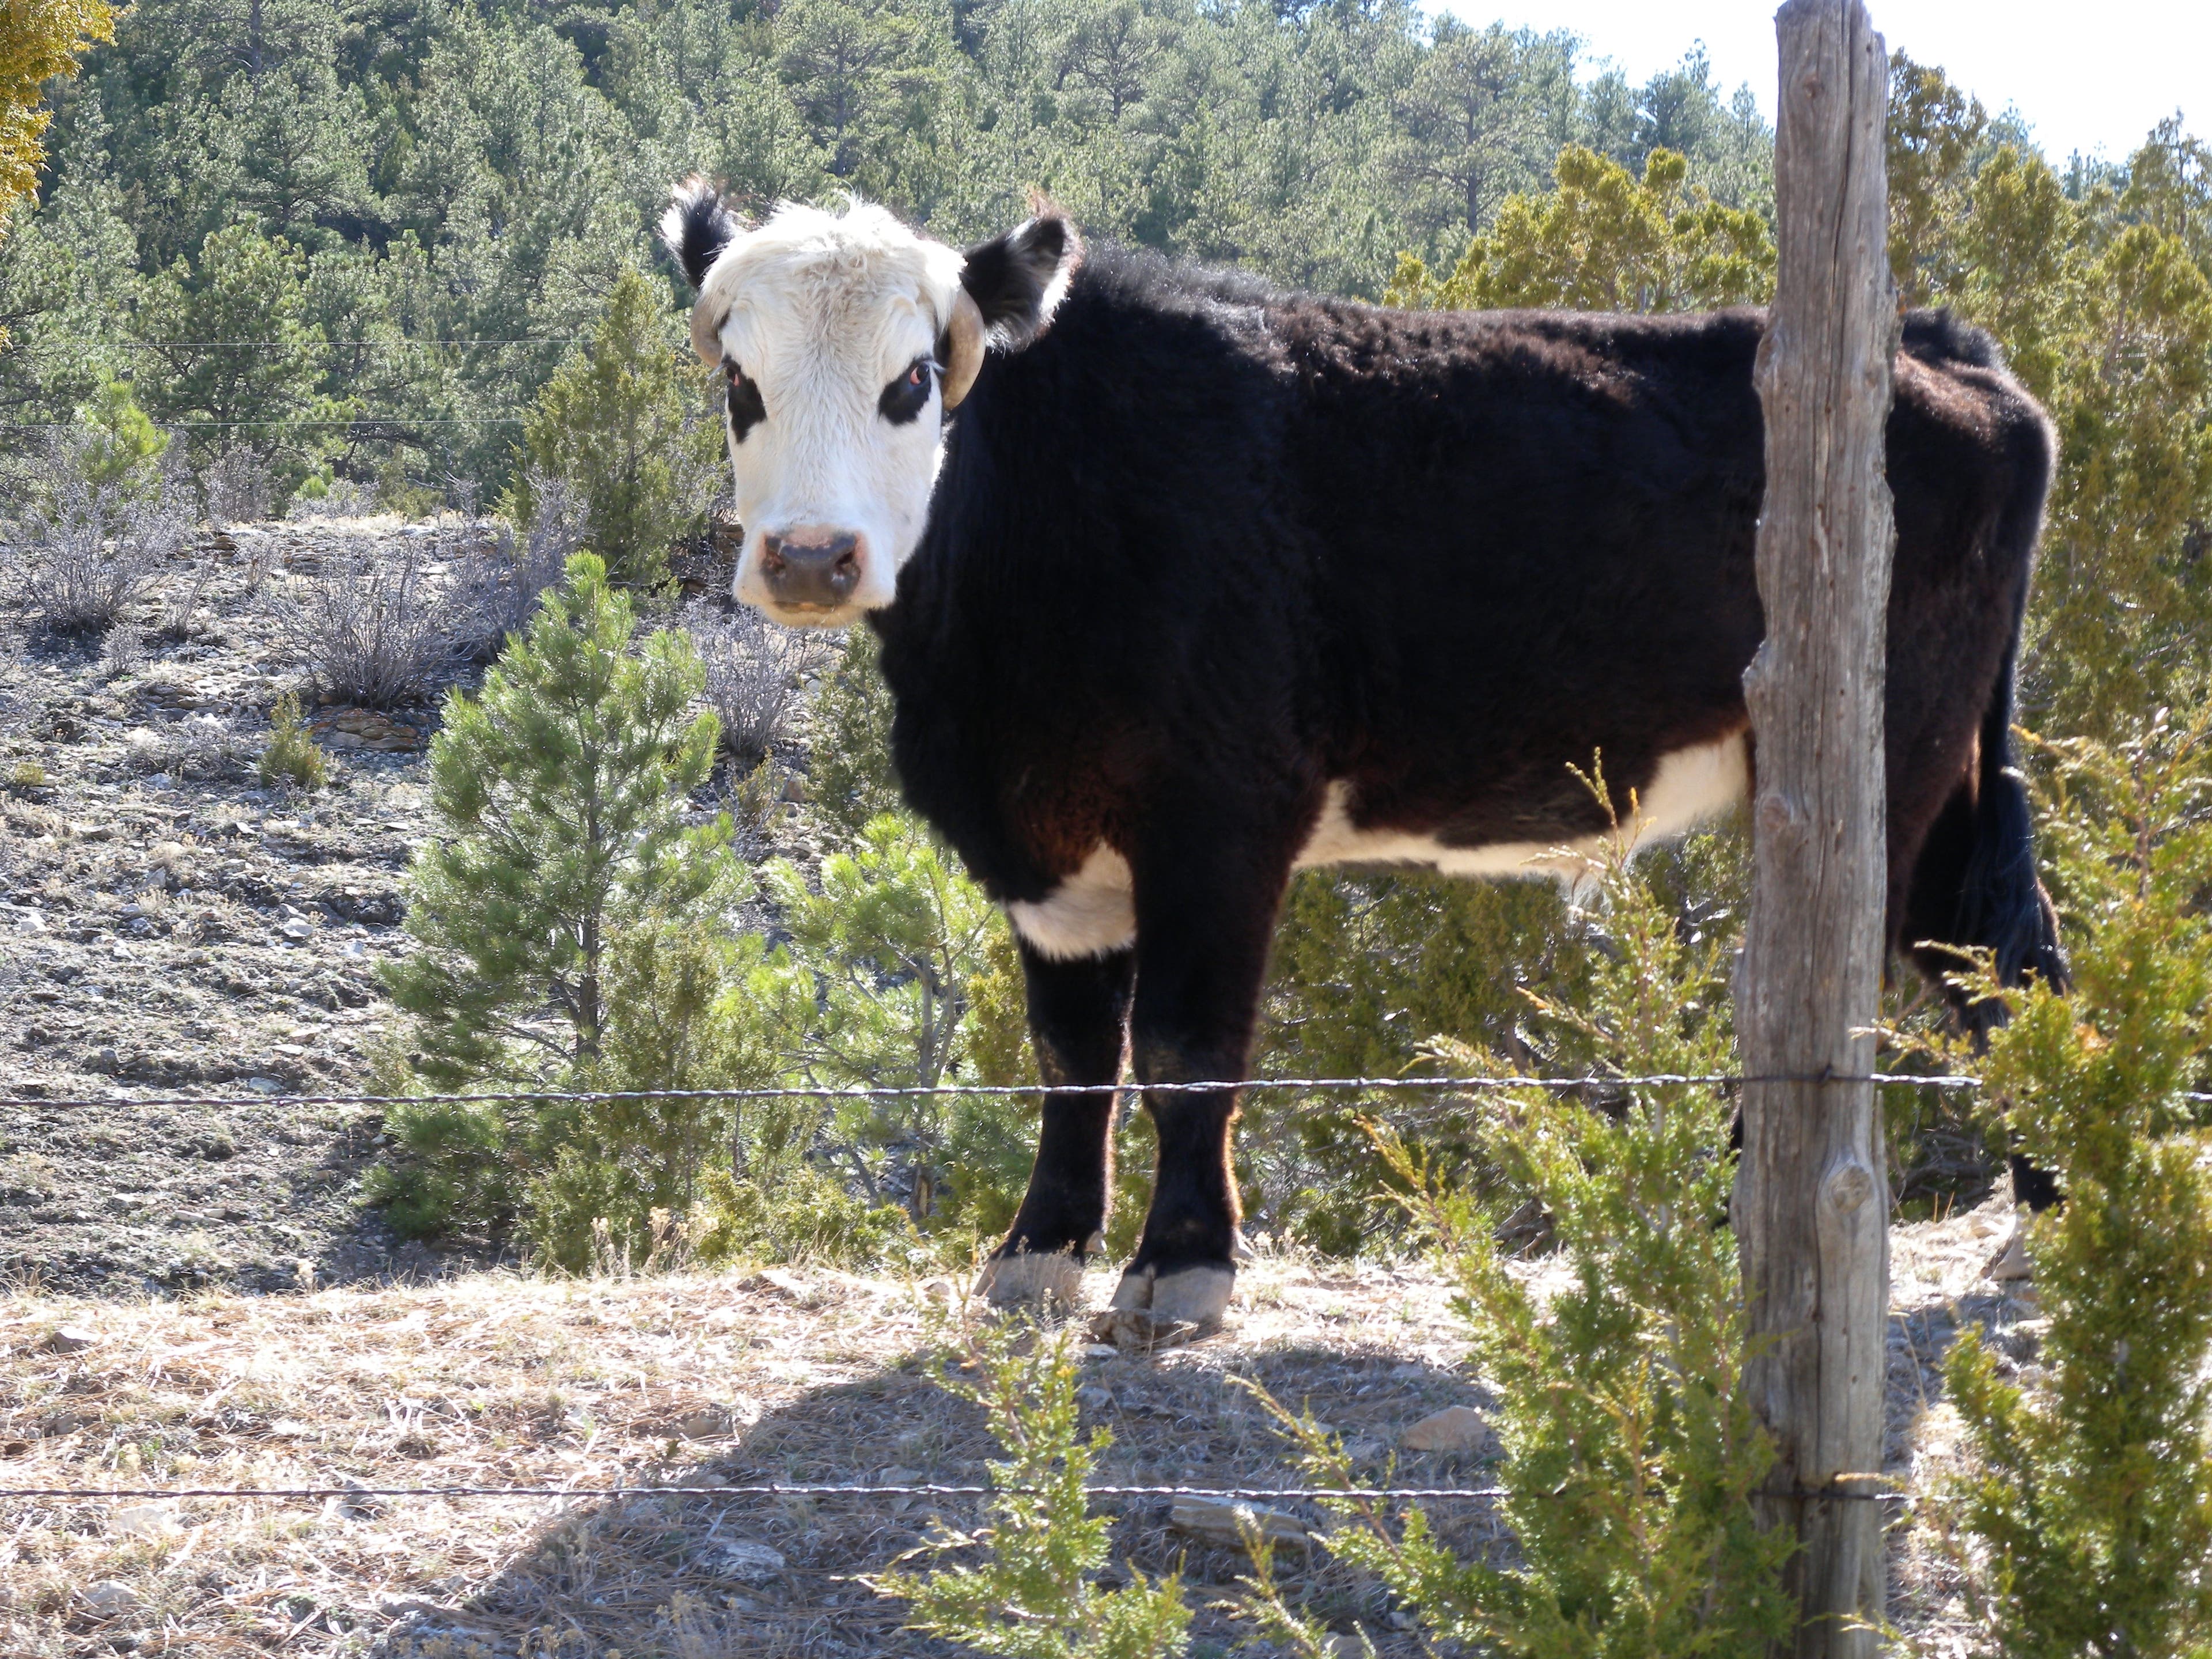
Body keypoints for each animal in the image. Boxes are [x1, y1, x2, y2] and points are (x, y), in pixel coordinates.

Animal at [660, 180, 2067, 1335]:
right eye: (742, 386)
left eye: (910, 382)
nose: (809, 558)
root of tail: (1938, 346)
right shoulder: (1046, 848)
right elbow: (1071, 1053)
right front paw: (1038, 1253)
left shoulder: (1222, 820)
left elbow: (1184, 1045)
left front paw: (1180, 1269)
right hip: (1941, 778)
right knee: (2004, 954)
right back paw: (2045, 1227)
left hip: (1879, 765)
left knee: (1874, 976)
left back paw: (1749, 1225)